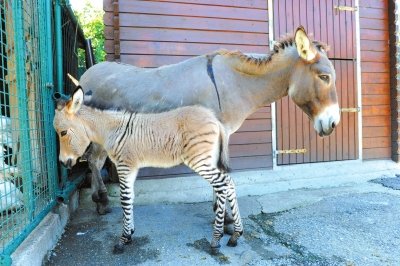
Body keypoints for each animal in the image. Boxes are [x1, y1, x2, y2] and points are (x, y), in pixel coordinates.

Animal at [51, 87, 242, 254]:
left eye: (63, 133)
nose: (62, 163)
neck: (111, 131)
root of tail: (215, 119)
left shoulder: (124, 166)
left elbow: (124, 199)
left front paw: (123, 239)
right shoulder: (131, 168)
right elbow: (130, 198)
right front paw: (129, 234)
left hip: (200, 160)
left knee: (222, 184)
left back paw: (216, 239)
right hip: (208, 159)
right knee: (228, 183)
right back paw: (235, 235)